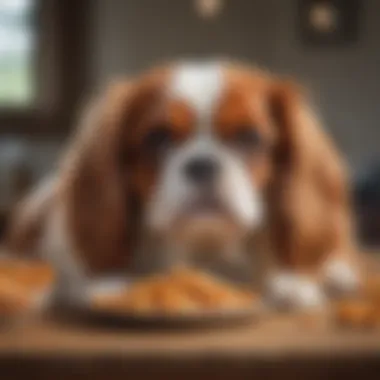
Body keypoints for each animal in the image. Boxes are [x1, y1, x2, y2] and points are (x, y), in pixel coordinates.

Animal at [3, 60, 362, 308]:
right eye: (158, 137)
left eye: (249, 137)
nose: (202, 165)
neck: (204, 252)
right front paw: (109, 285)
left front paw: (292, 283)